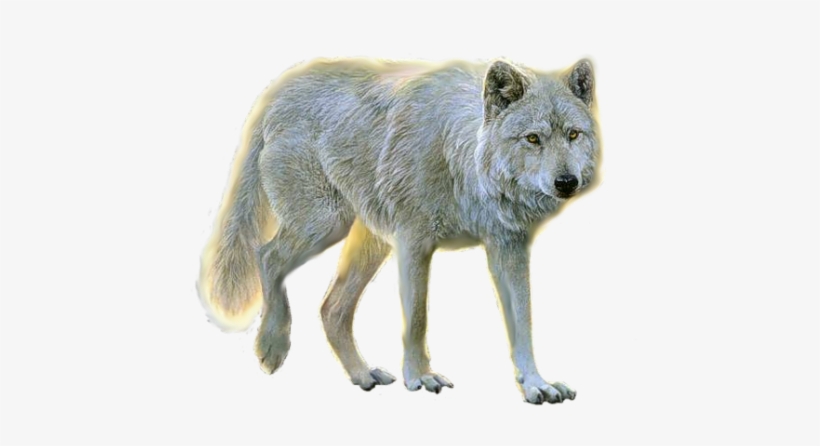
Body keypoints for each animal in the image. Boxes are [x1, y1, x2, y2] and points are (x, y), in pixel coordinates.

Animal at [198, 57, 600, 404]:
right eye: (533, 139)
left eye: (573, 135)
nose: (567, 182)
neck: (460, 158)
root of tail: (278, 93)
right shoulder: (414, 242)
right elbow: (418, 319)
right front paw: (420, 377)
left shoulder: (508, 248)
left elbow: (524, 323)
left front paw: (536, 384)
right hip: (324, 224)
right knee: (266, 256)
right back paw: (272, 346)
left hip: (369, 244)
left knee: (331, 309)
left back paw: (362, 375)